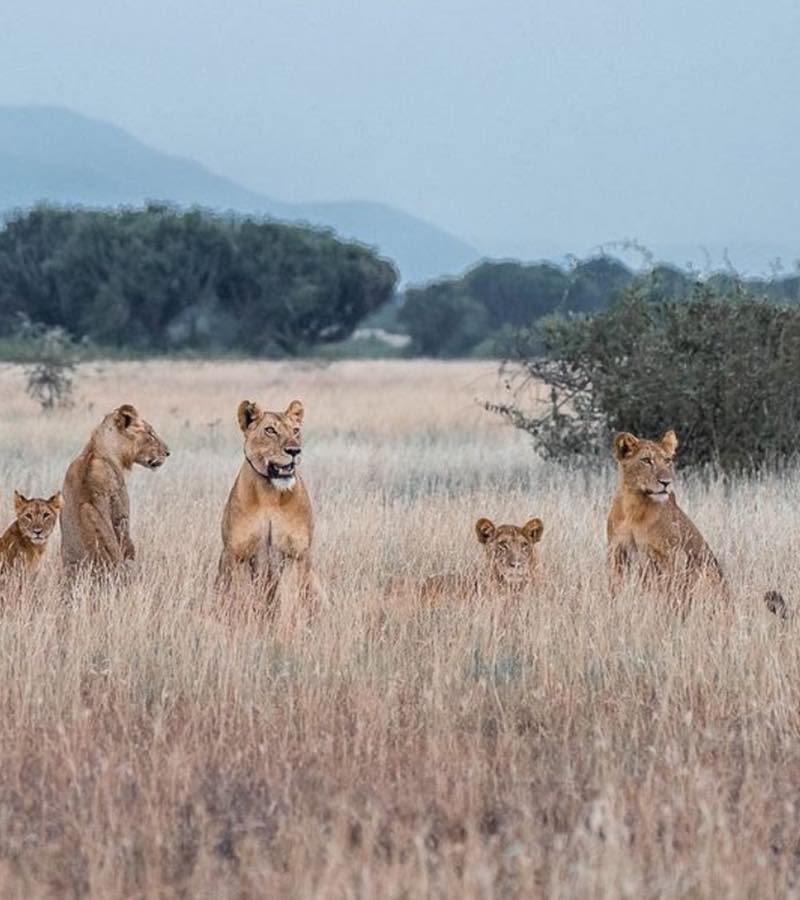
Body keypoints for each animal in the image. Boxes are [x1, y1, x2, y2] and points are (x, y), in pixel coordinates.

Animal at [216, 400, 316, 620]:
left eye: (296, 430)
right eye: (270, 430)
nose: (294, 451)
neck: (270, 495)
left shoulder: (294, 554)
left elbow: (289, 602)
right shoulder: (239, 554)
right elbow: (243, 598)